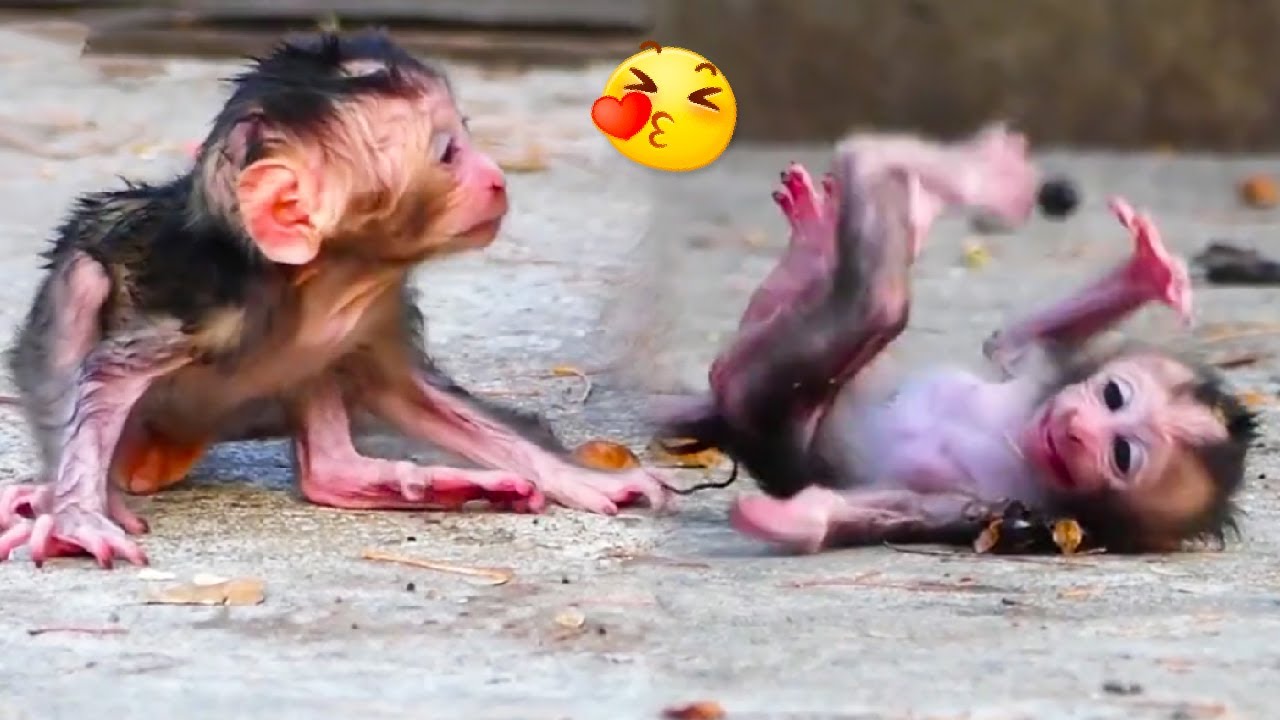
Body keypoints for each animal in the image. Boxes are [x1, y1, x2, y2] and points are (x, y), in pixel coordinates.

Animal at [0, 29, 672, 568]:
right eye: (448, 153)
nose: (496, 178)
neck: (325, 279)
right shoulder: (206, 306)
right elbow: (106, 377)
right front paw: (77, 516)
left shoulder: (374, 307)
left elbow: (403, 391)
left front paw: (579, 478)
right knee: (83, 278)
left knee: (324, 408)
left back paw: (372, 478)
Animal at [658, 129, 1256, 554]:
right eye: (1113, 396)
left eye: (1122, 454)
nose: (1075, 428)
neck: (1019, 435)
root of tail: (723, 418)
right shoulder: (1035, 374)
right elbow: (1009, 342)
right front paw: (1150, 273)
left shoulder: (1000, 508)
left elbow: (897, 506)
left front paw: (798, 519)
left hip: (760, 398)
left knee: (877, 303)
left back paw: (898, 170)